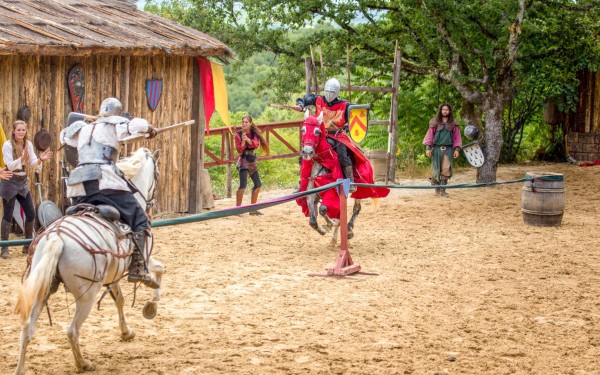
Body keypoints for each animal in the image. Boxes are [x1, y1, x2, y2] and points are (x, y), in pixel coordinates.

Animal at [14, 148, 164, 374]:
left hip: (44, 290)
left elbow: (119, 300)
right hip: (87, 297)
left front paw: (126, 332)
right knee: (72, 331)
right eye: (156, 173)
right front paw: (151, 305)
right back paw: (83, 363)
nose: (153, 201)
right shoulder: (144, 258)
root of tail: (57, 238)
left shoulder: (113, 276)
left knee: (27, 329)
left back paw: (20, 368)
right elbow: (159, 270)